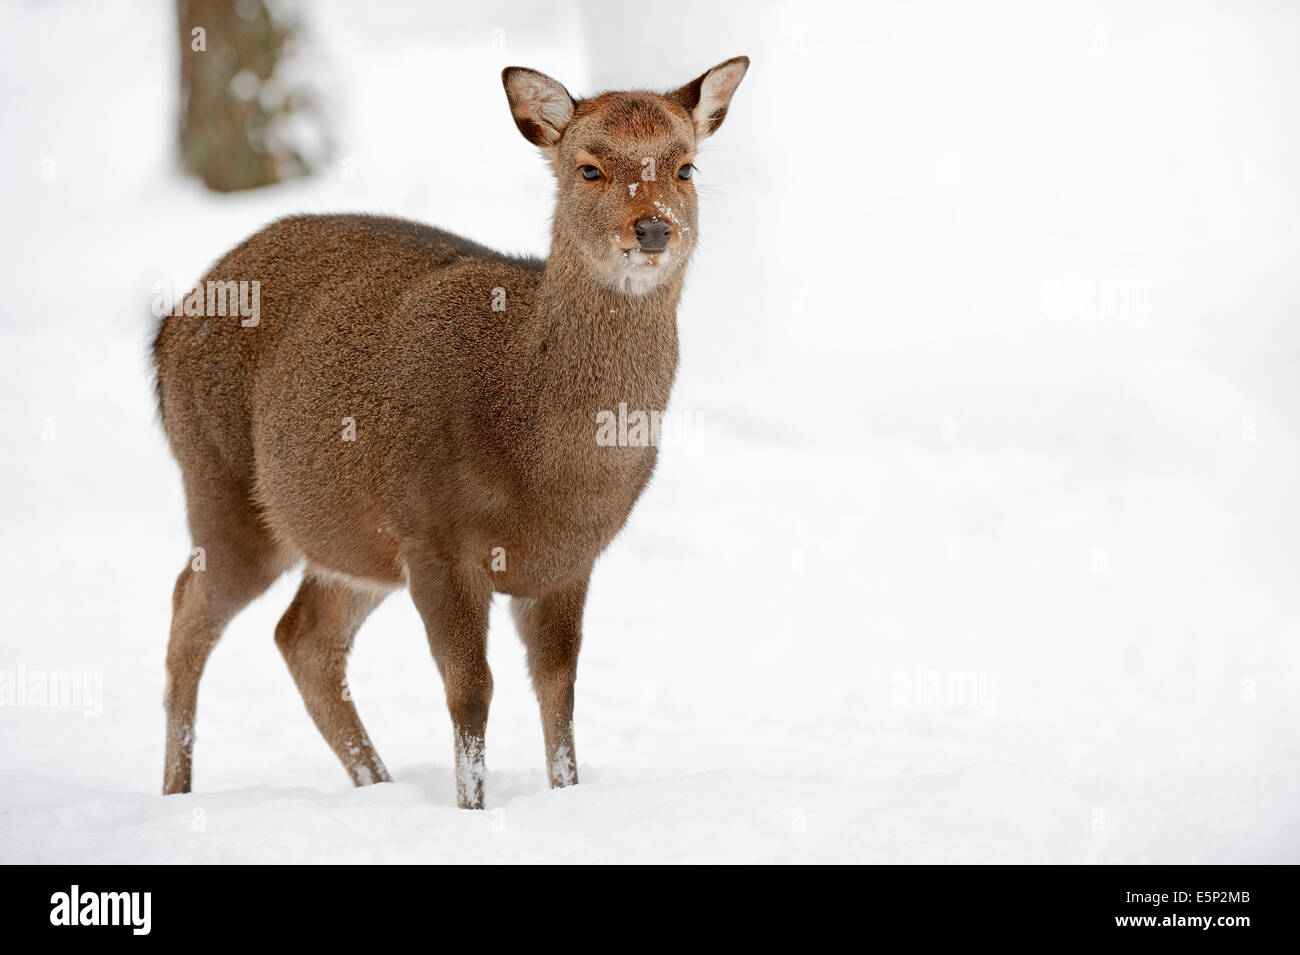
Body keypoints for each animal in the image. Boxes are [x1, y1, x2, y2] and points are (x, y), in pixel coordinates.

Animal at [149, 57, 754, 805]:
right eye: (589, 168)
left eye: (685, 166)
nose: (653, 229)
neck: (551, 473)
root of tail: (169, 325)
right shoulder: (436, 535)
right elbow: (471, 691)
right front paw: (472, 808)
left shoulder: (569, 560)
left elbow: (559, 690)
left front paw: (566, 797)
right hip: (220, 480)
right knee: (189, 612)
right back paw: (177, 792)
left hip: (351, 536)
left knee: (303, 636)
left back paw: (378, 786)